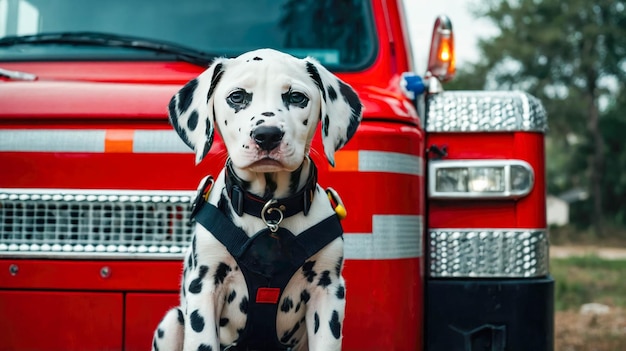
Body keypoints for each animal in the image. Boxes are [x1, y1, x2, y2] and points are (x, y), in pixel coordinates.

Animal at [152, 47, 364, 351]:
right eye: (237, 96)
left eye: (297, 97)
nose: (267, 135)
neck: (269, 210)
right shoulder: (204, 284)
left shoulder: (328, 289)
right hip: (171, 323)